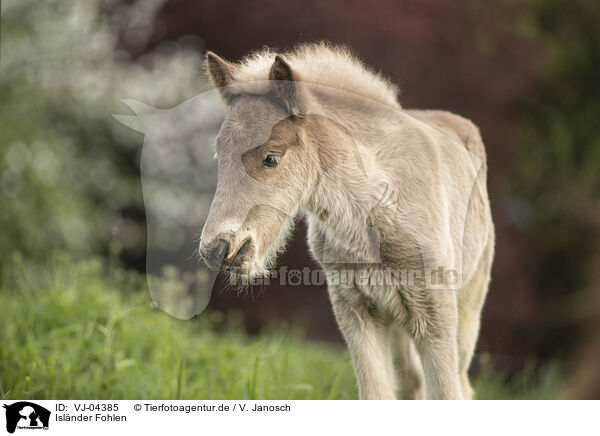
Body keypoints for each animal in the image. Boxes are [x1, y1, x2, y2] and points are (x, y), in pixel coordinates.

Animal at [199, 42, 494, 400]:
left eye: (271, 158)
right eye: (219, 156)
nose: (218, 249)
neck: (374, 211)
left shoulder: (436, 312)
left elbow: (446, 393)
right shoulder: (355, 310)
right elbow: (377, 394)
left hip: (466, 311)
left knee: (460, 383)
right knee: (413, 381)